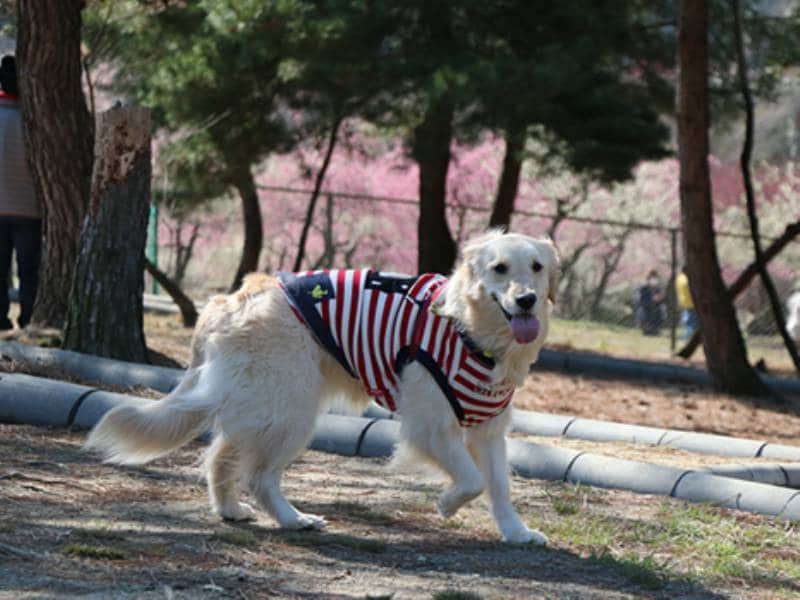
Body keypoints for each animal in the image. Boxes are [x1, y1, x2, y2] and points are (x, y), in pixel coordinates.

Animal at [86, 229, 556, 544]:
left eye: (537, 267)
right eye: (499, 269)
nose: (528, 300)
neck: (470, 331)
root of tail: (227, 301)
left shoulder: (490, 431)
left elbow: (498, 485)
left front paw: (517, 532)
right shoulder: (431, 426)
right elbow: (473, 480)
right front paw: (448, 504)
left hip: (264, 406)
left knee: (220, 457)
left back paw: (231, 511)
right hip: (292, 410)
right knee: (259, 476)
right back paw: (293, 519)